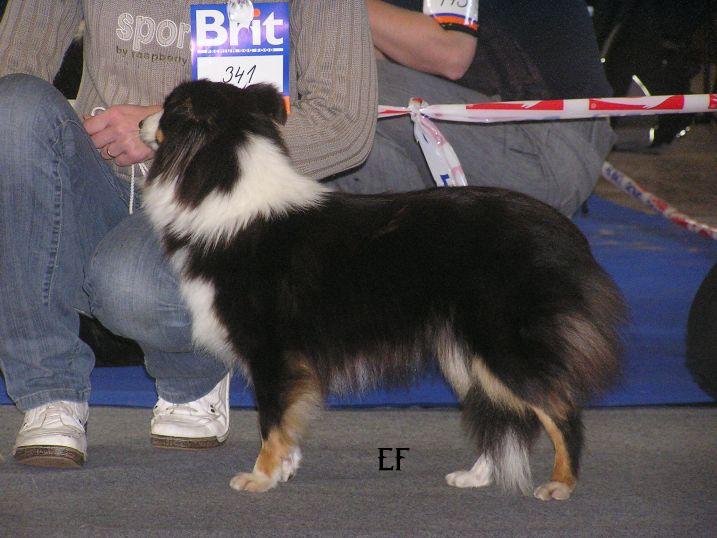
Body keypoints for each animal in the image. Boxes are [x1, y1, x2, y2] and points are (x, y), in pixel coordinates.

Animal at [139, 80, 625, 500]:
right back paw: (476, 475)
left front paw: (261, 476)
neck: (224, 180)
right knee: (506, 412)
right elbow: (289, 421)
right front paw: (285, 468)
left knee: (560, 409)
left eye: (166, 108)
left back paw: (560, 483)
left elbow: (272, 420)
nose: (139, 122)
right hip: (468, 354)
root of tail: (565, 233)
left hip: (502, 343)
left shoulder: (272, 353)